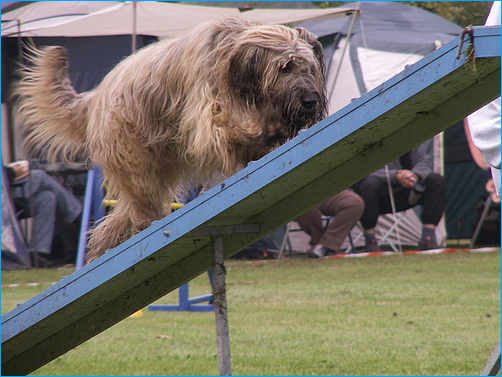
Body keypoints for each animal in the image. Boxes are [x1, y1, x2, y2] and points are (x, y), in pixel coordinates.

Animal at [13, 16, 328, 262]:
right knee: (141, 205)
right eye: (284, 67)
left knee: (121, 217)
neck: (235, 66)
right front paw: (265, 129)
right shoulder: (204, 113)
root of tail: (95, 97)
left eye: (308, 68)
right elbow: (228, 126)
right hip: (135, 160)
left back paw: (104, 249)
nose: (310, 101)